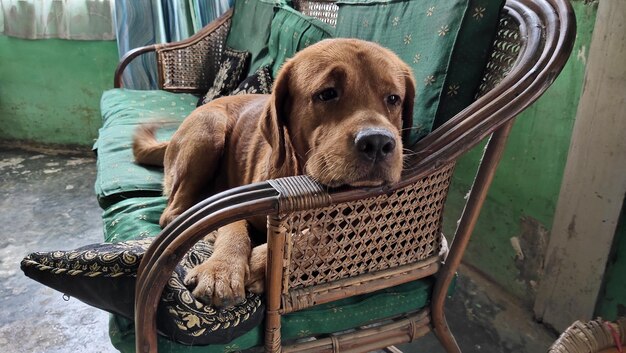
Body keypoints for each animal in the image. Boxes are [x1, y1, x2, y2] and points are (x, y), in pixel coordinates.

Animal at [132, 38, 414, 306]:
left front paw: (260, 262)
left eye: (393, 99)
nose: (377, 142)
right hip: (208, 128)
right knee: (172, 211)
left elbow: (327, 233)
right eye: (327, 93)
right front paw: (220, 270)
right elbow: (234, 228)